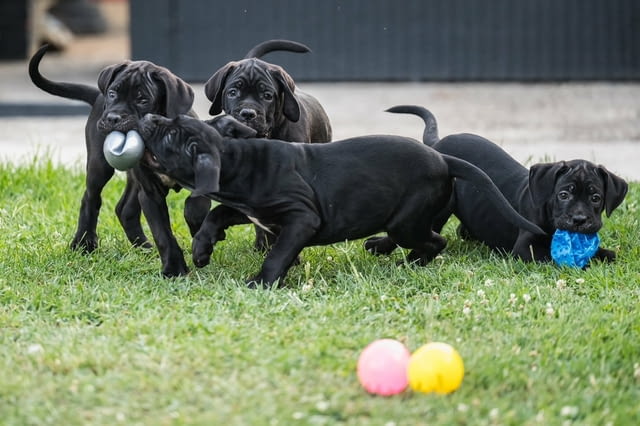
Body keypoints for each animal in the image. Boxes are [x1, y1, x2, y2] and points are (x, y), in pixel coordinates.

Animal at [136, 114, 544, 286]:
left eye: (169, 134)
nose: (150, 115)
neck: (238, 160)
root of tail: (444, 159)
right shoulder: (255, 211)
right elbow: (219, 213)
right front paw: (202, 249)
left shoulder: (302, 218)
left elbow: (276, 254)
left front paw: (261, 282)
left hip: (407, 221)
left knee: (437, 240)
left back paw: (411, 262)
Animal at [388, 104, 628, 262]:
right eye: (563, 195)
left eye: (596, 198)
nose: (579, 220)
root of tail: (437, 145)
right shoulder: (525, 247)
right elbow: (552, 257)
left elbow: (607, 254)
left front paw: (604, 254)